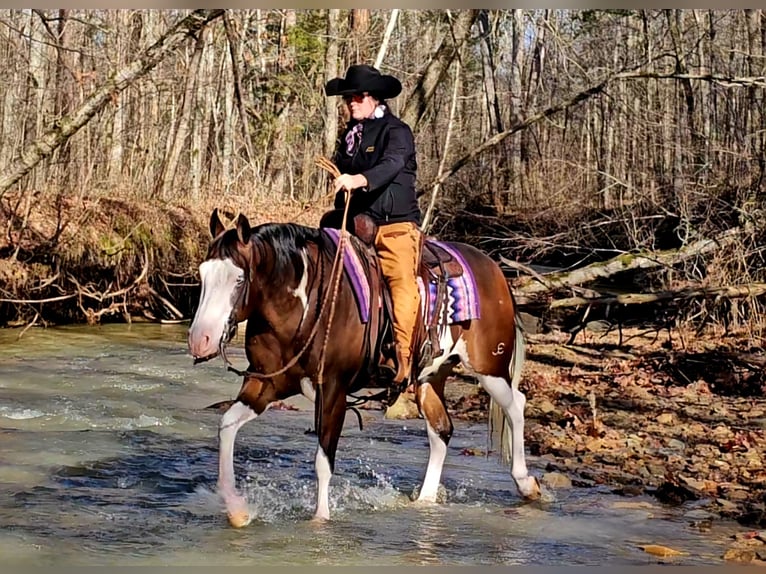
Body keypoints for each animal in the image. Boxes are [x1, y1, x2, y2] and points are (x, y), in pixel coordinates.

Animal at [188, 209, 544, 528]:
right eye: (203, 274)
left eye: (238, 278)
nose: (200, 340)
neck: (307, 306)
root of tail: (494, 268)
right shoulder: (266, 383)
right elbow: (227, 426)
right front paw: (237, 509)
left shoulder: (333, 391)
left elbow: (323, 460)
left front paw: (320, 520)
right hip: (430, 377)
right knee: (441, 430)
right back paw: (424, 501)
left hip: (490, 367)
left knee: (516, 405)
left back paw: (526, 483)